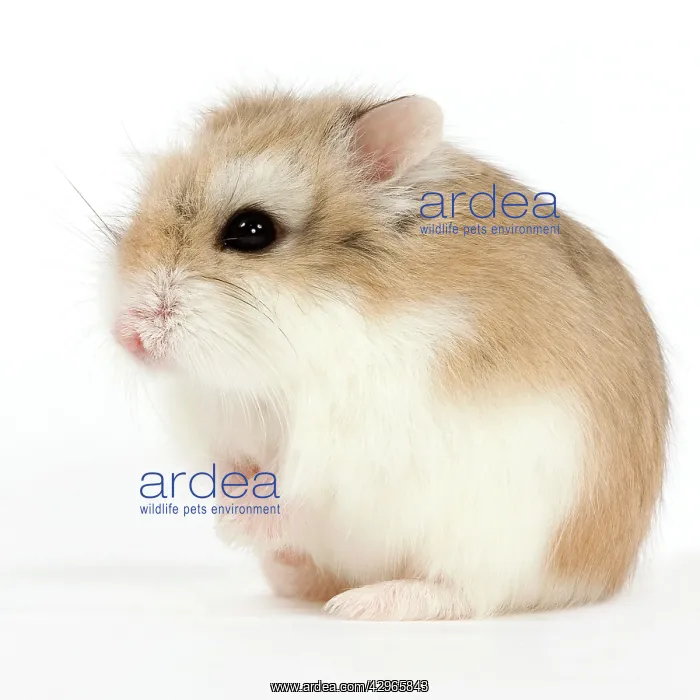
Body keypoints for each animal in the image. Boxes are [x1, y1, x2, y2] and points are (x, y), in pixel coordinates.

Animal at [108, 90, 668, 620]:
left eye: (251, 230)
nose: (125, 335)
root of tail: (596, 577)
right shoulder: (221, 423)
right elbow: (231, 469)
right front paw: (229, 525)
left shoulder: (350, 430)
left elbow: (297, 485)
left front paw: (240, 530)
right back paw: (289, 571)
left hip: (502, 539)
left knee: (467, 594)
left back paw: (361, 602)